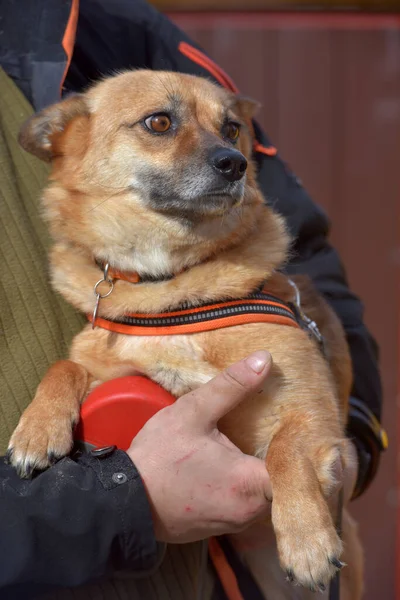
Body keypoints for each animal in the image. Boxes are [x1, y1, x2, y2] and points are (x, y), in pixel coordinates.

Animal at [9, 70, 360, 596]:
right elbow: (66, 364)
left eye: (232, 128)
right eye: (159, 122)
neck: (170, 290)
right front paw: (36, 428)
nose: (235, 163)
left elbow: (285, 451)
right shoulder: (109, 368)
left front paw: (307, 541)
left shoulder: (312, 414)